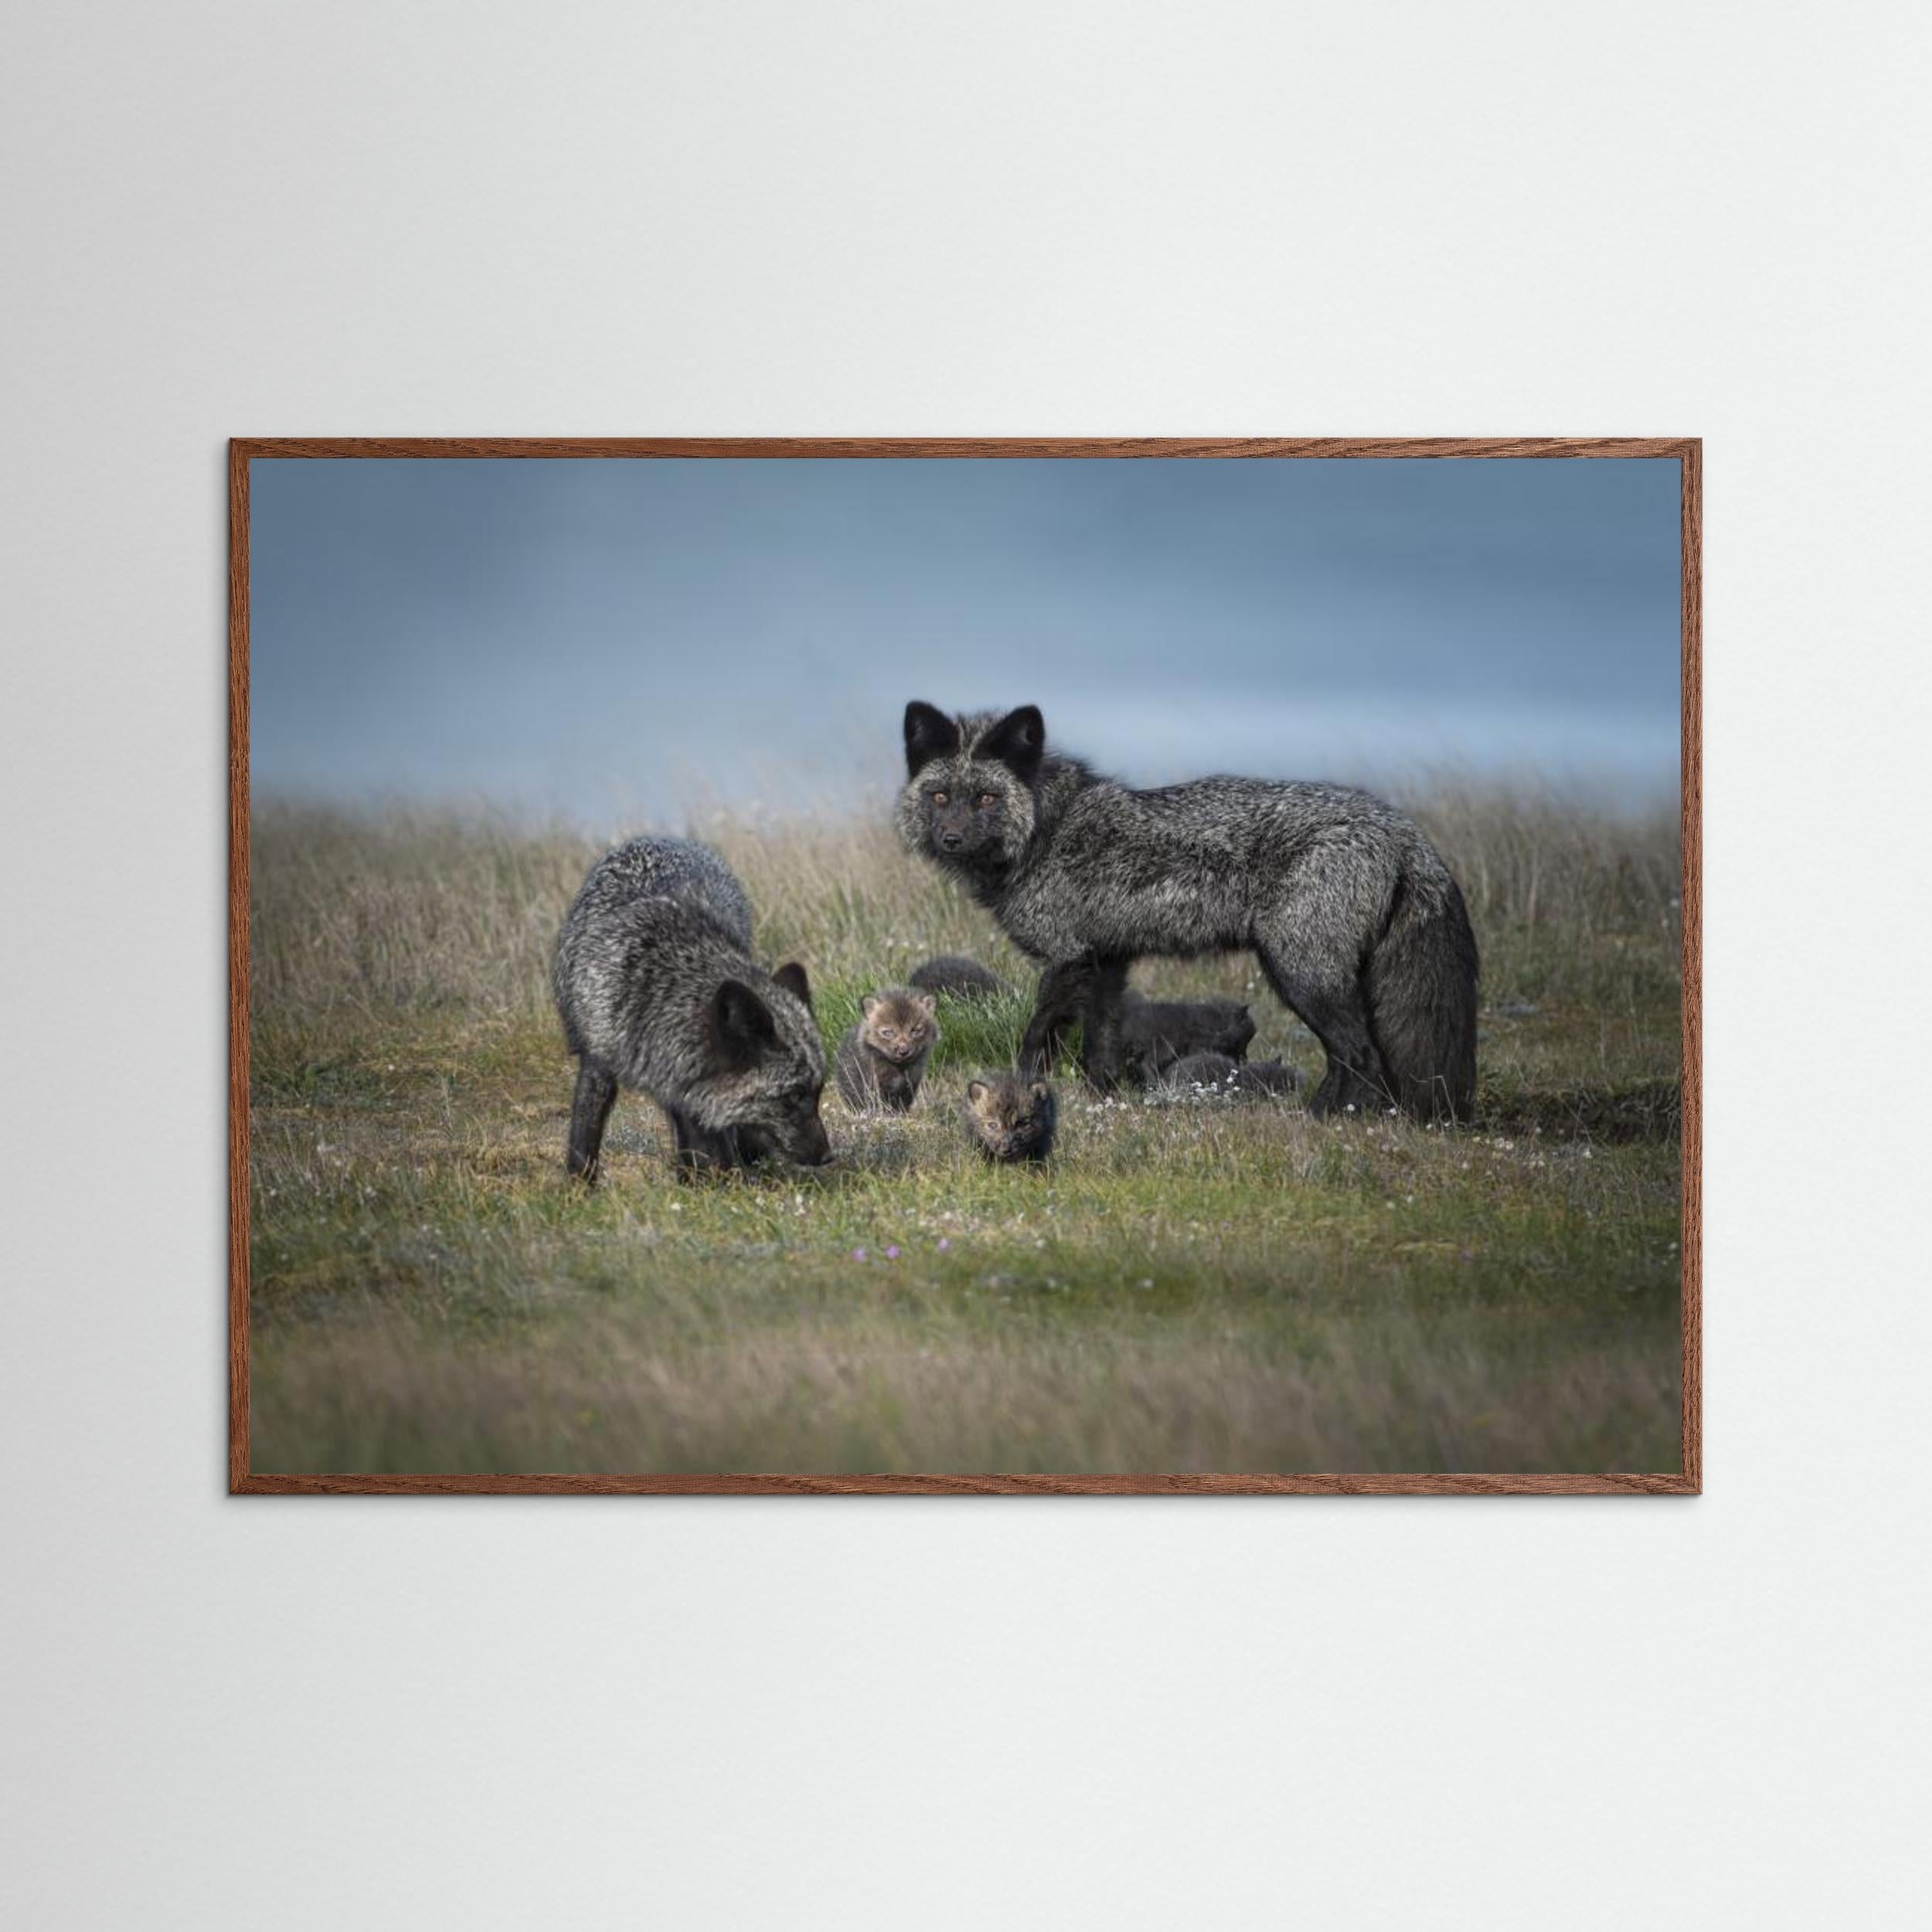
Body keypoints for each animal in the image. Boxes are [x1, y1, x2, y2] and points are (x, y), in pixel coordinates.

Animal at [552, 836, 831, 1179]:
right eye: (792, 1096)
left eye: (819, 1091)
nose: (828, 1156)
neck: (653, 984)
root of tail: (656, 838)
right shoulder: (598, 1062)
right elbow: (584, 1134)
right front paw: (579, 1185)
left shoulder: (687, 1084)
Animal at [834, 988, 939, 1111]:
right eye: (888, 1032)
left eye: (915, 1031)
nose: (903, 1051)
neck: (900, 1069)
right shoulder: (873, 1085)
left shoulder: (910, 1084)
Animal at [897, 701, 1479, 1122]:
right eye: (941, 796)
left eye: (987, 799)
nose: (950, 839)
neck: (1046, 830)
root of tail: (1401, 828)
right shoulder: (1106, 961)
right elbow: (1100, 1042)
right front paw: (1103, 1099)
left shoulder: (1068, 958)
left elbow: (1038, 1035)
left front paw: (1021, 1091)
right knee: (1352, 1055)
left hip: (1300, 974)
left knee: (1360, 1054)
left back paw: (1324, 1119)